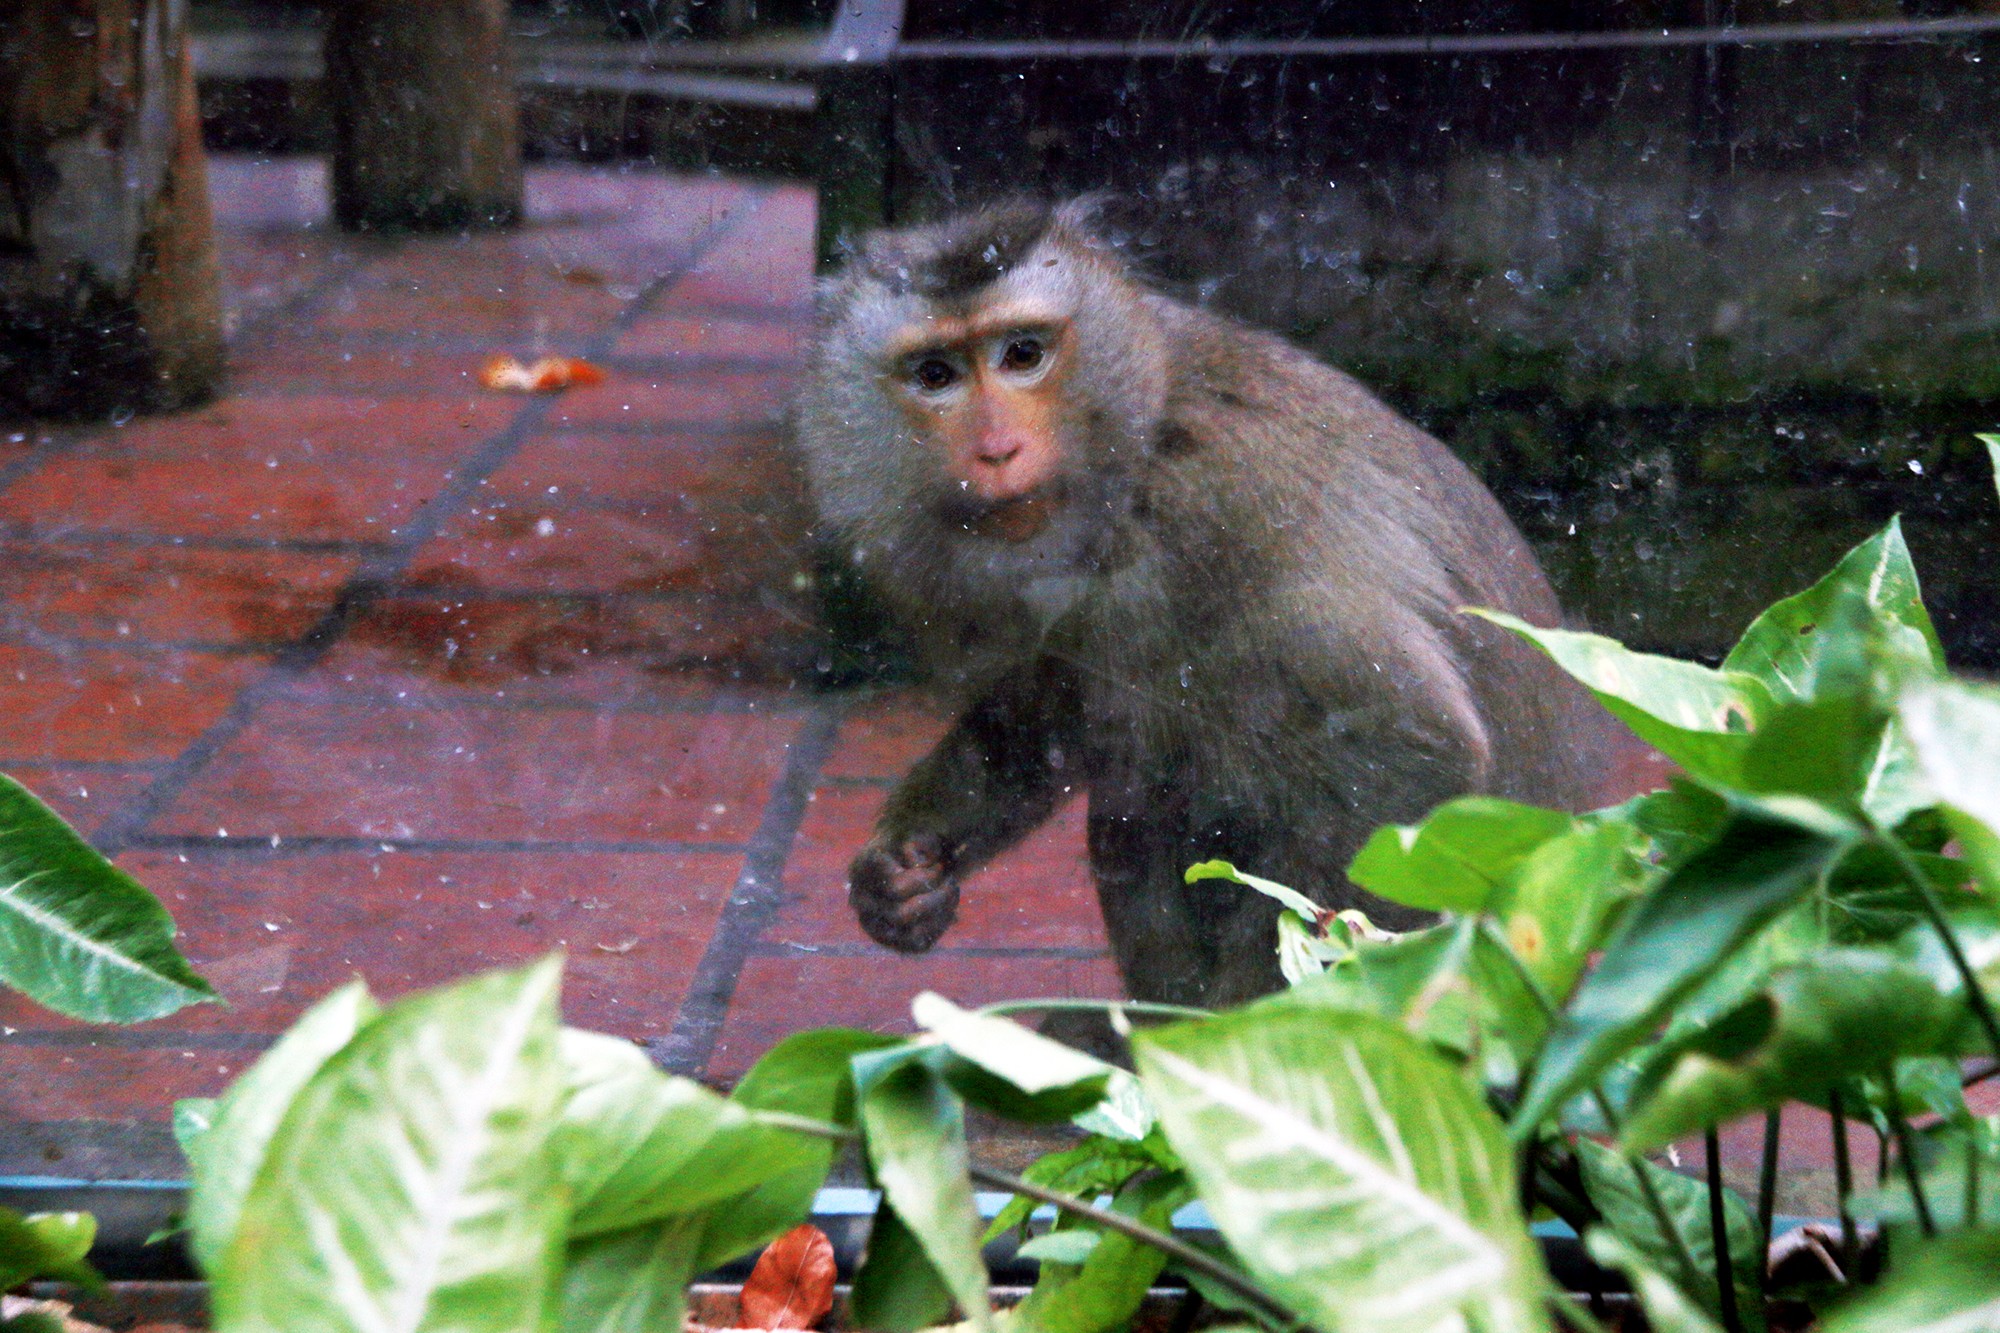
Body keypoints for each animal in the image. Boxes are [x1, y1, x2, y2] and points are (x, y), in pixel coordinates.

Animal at [788, 197, 1616, 1008]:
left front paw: (1232, 1035)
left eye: (1023, 355)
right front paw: (903, 870)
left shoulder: (1225, 511)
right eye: (935, 374)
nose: (996, 451)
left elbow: (1415, 751)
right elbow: (1046, 710)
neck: (1137, 439)